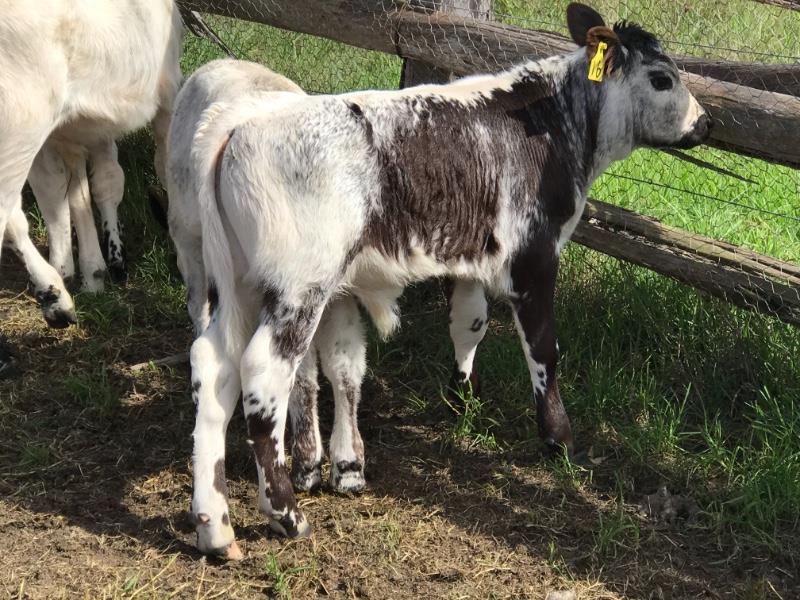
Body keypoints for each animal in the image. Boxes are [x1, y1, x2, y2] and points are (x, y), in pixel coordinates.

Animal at [0, 0, 183, 326]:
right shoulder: (168, 92)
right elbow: (164, 168)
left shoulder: (68, 134)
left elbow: (67, 195)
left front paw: (85, 272)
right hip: (22, 125)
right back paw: (55, 295)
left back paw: (57, 294)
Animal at [183, 3, 712, 558]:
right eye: (662, 78)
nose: (706, 122)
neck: (548, 126)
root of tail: (240, 124)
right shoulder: (534, 257)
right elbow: (543, 349)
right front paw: (558, 437)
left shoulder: (469, 262)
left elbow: (469, 324)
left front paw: (464, 399)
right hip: (299, 286)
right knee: (263, 374)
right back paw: (286, 513)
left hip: (239, 284)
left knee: (213, 367)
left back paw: (215, 526)